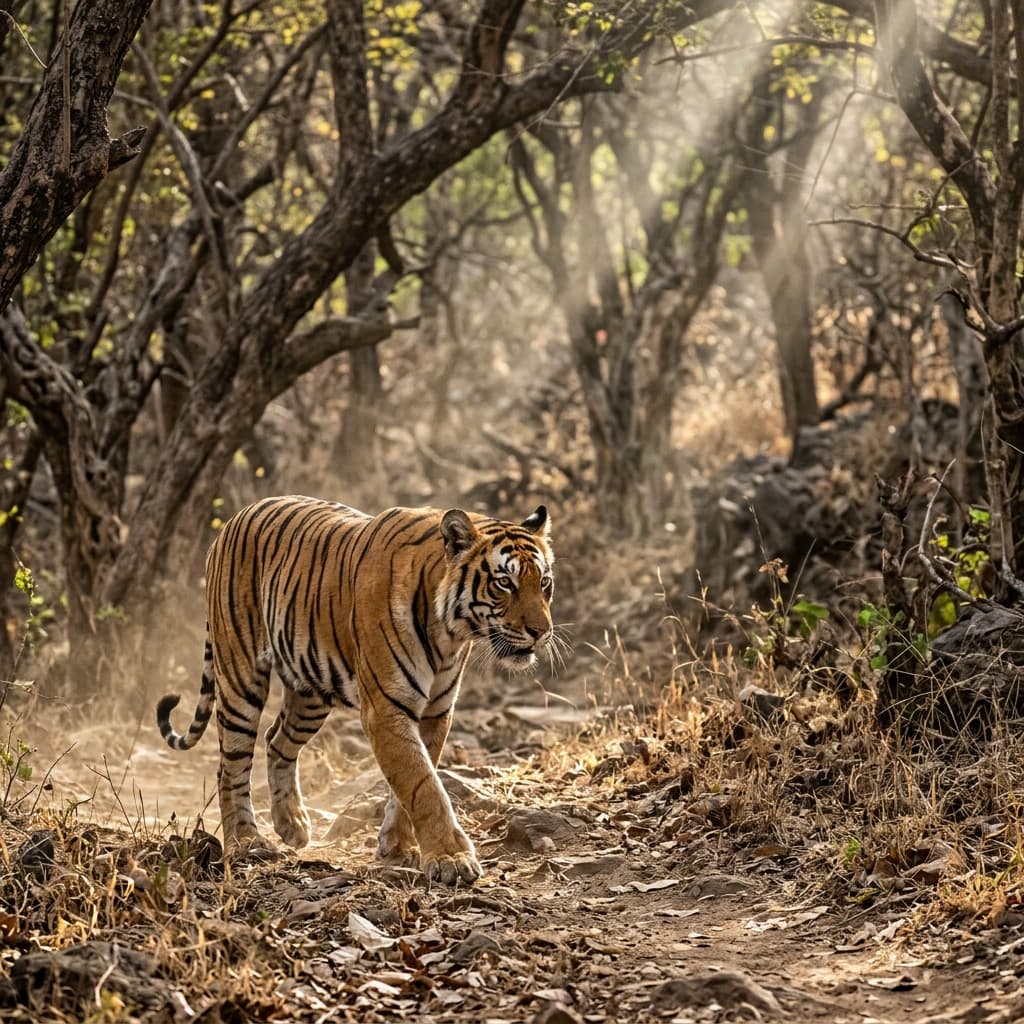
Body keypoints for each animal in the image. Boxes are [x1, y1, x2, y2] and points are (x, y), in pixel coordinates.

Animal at [156, 494, 554, 885]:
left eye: (545, 582)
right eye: (504, 583)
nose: (541, 631)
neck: (450, 633)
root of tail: (235, 519)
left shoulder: (436, 711)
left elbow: (409, 782)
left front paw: (398, 847)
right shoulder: (386, 709)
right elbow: (423, 785)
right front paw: (451, 858)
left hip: (311, 690)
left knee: (277, 740)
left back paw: (292, 824)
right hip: (241, 675)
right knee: (232, 764)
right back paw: (245, 841)